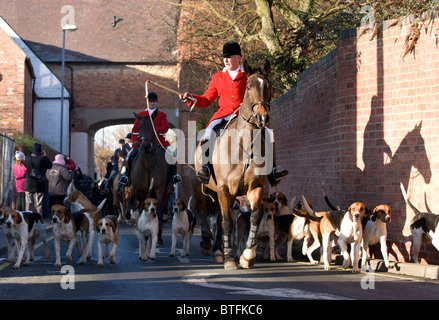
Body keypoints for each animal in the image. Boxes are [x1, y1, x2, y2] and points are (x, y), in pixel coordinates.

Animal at [195, 59, 274, 270]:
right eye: (248, 87)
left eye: (269, 86)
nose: (262, 118)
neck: (244, 144)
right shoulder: (223, 189)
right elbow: (227, 223)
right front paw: (230, 259)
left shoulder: (256, 187)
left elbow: (255, 216)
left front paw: (247, 256)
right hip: (207, 190)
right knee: (212, 216)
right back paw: (213, 248)